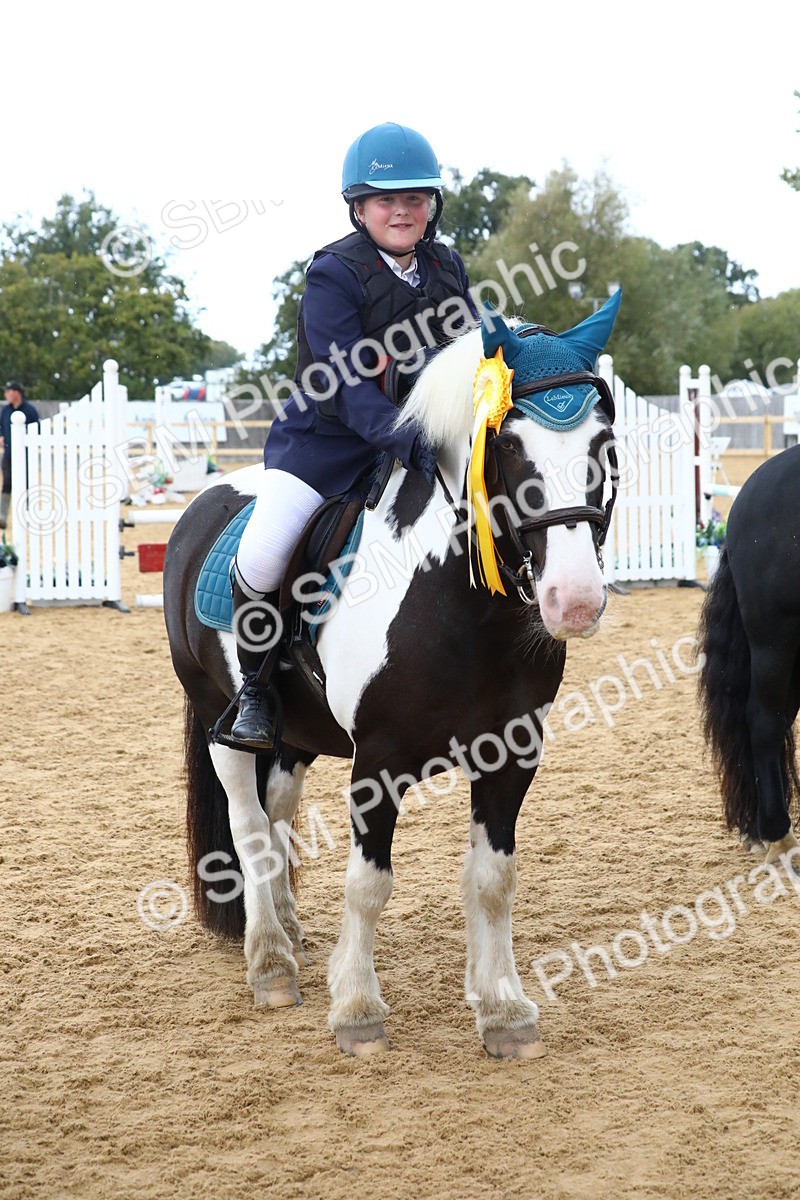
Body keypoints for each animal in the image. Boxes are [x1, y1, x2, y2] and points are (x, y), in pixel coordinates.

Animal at [162, 290, 622, 1059]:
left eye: (603, 443)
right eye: (508, 445)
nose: (575, 600)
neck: (462, 606)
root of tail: (204, 500)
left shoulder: (512, 754)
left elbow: (493, 879)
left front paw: (504, 1011)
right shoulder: (378, 762)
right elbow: (369, 883)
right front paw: (357, 1010)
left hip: (295, 733)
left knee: (278, 813)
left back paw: (289, 930)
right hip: (224, 720)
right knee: (250, 825)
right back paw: (270, 962)